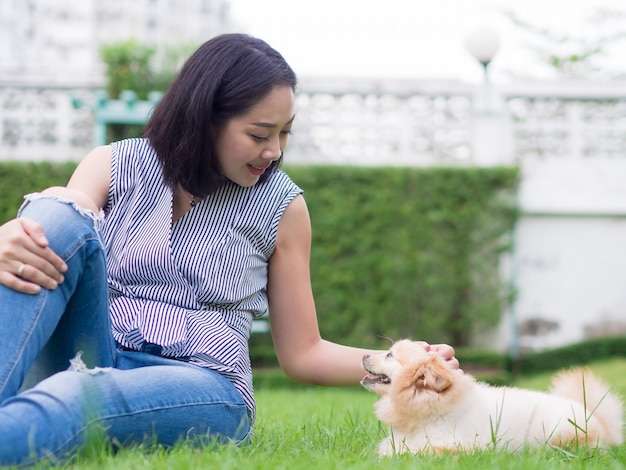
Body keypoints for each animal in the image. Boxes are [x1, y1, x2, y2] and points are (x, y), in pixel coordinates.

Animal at [358, 342, 620, 456]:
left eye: (389, 354)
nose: (363, 354)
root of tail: (595, 414)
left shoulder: (458, 447)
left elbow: (413, 452)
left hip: (562, 434)